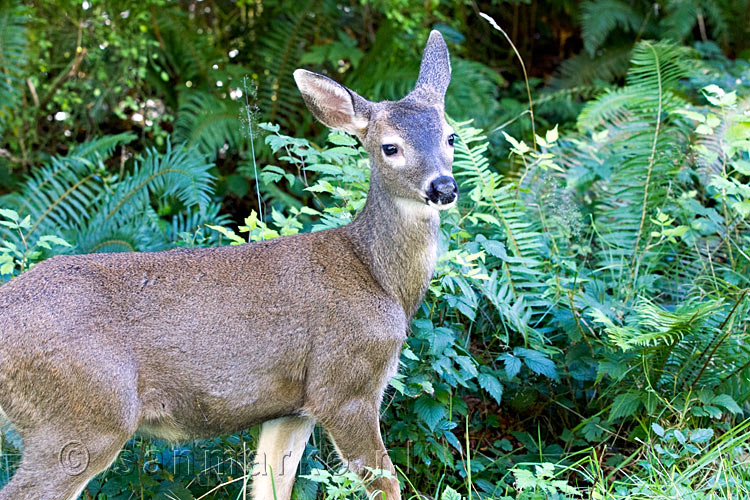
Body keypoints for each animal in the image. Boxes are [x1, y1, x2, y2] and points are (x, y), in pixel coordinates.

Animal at [0, 31, 458, 500]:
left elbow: (271, 485)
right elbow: (387, 484)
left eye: (451, 137)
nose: (443, 187)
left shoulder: (291, 408)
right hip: (84, 416)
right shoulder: (345, 384)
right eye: (390, 147)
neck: (379, 277)